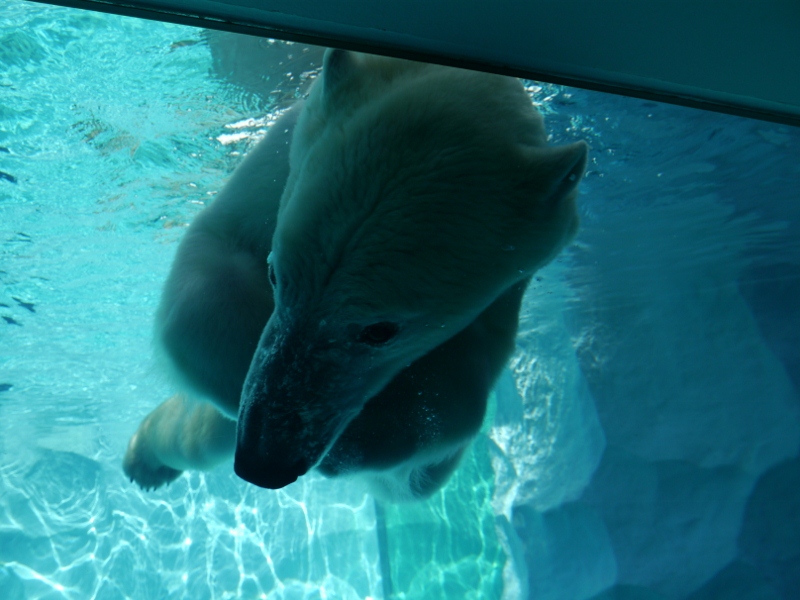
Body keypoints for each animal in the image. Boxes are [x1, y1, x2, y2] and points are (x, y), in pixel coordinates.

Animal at [125, 50, 588, 502]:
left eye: (381, 330)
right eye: (276, 276)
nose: (261, 461)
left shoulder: (514, 282)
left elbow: (439, 430)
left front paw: (353, 441)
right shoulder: (287, 145)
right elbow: (213, 261)